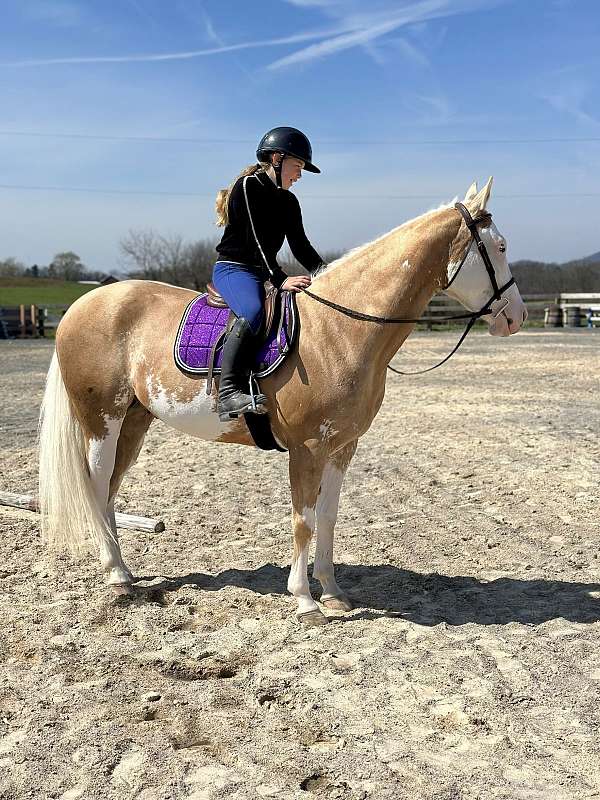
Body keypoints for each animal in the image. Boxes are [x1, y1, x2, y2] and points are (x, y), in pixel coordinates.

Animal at [39, 177, 527, 626]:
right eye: (500, 246)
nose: (516, 318)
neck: (339, 329)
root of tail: (83, 304)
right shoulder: (306, 449)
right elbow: (303, 520)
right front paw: (305, 600)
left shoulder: (342, 447)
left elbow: (328, 517)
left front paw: (333, 592)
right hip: (102, 420)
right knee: (96, 485)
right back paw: (118, 576)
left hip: (134, 423)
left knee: (109, 489)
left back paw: (121, 570)